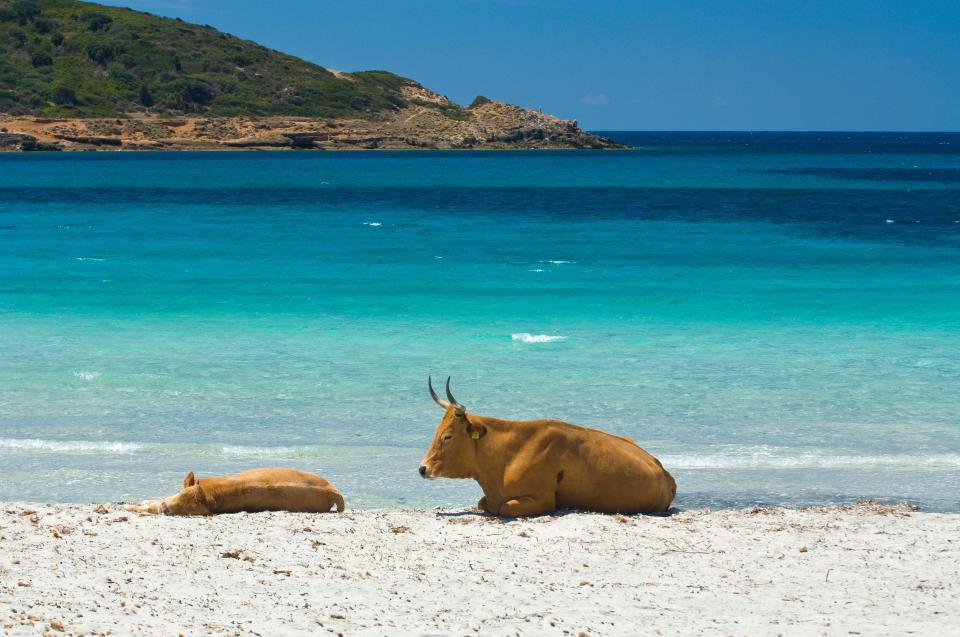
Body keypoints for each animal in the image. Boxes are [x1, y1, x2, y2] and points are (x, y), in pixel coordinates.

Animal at [418, 378, 676, 516]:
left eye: (448, 436)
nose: (423, 468)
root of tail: (664, 471)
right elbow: (482, 503)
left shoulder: (542, 499)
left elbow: (505, 508)